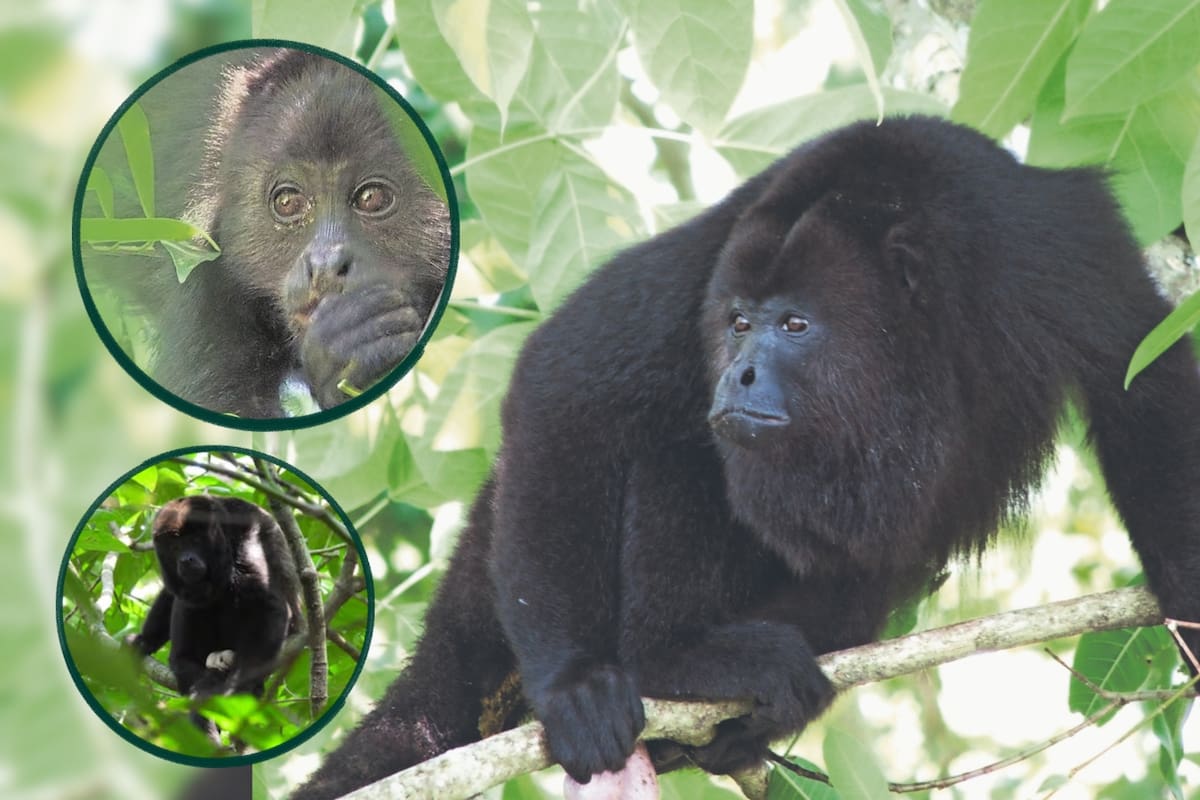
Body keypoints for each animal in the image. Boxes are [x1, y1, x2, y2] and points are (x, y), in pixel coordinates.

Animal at [291, 115, 1200, 797]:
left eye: (794, 324)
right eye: (736, 322)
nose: (738, 370)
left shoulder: (1047, 247)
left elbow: (1142, 378)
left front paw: (1186, 595)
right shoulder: (708, 260)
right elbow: (565, 376)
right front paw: (574, 685)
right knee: (674, 447)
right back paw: (676, 658)